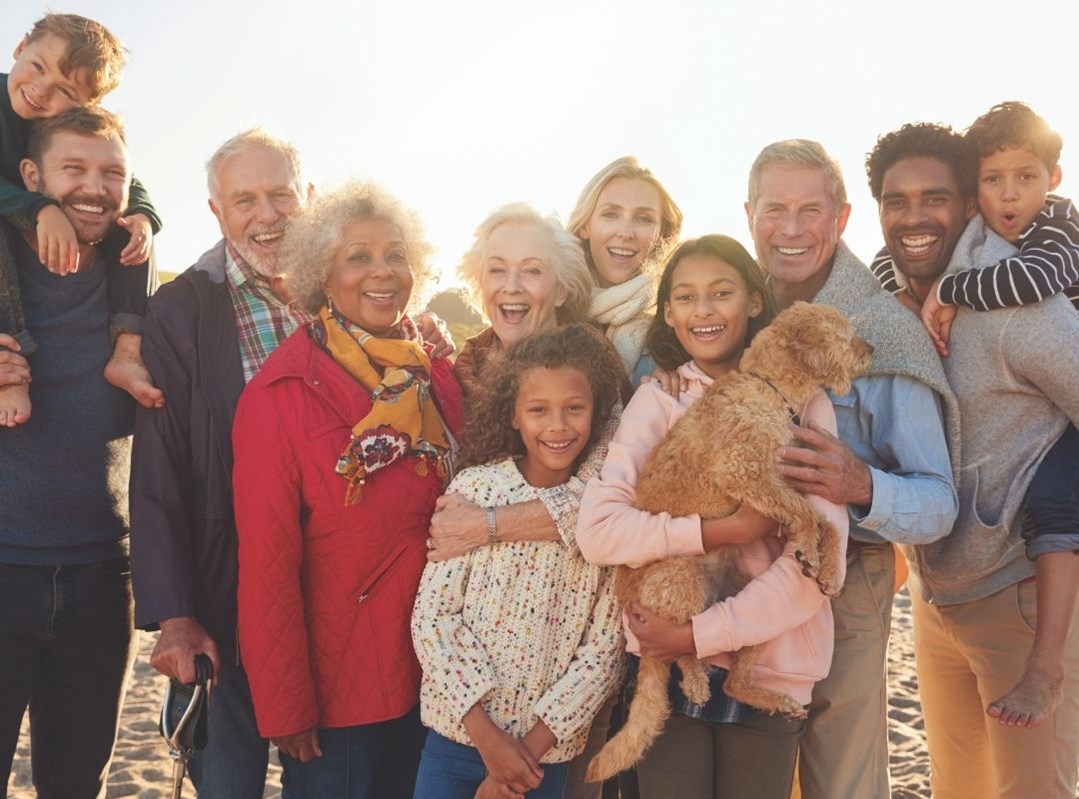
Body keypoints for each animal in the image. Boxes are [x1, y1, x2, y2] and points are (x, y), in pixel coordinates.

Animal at [586, 299, 871, 780]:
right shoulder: (748, 476)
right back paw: (697, 680)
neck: (766, 388)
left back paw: (767, 696)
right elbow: (808, 516)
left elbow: (826, 522)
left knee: (733, 673)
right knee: (681, 646)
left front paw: (827, 569)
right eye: (846, 334)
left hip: (751, 606)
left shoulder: (786, 483)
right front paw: (812, 552)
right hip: (681, 575)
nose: (871, 349)